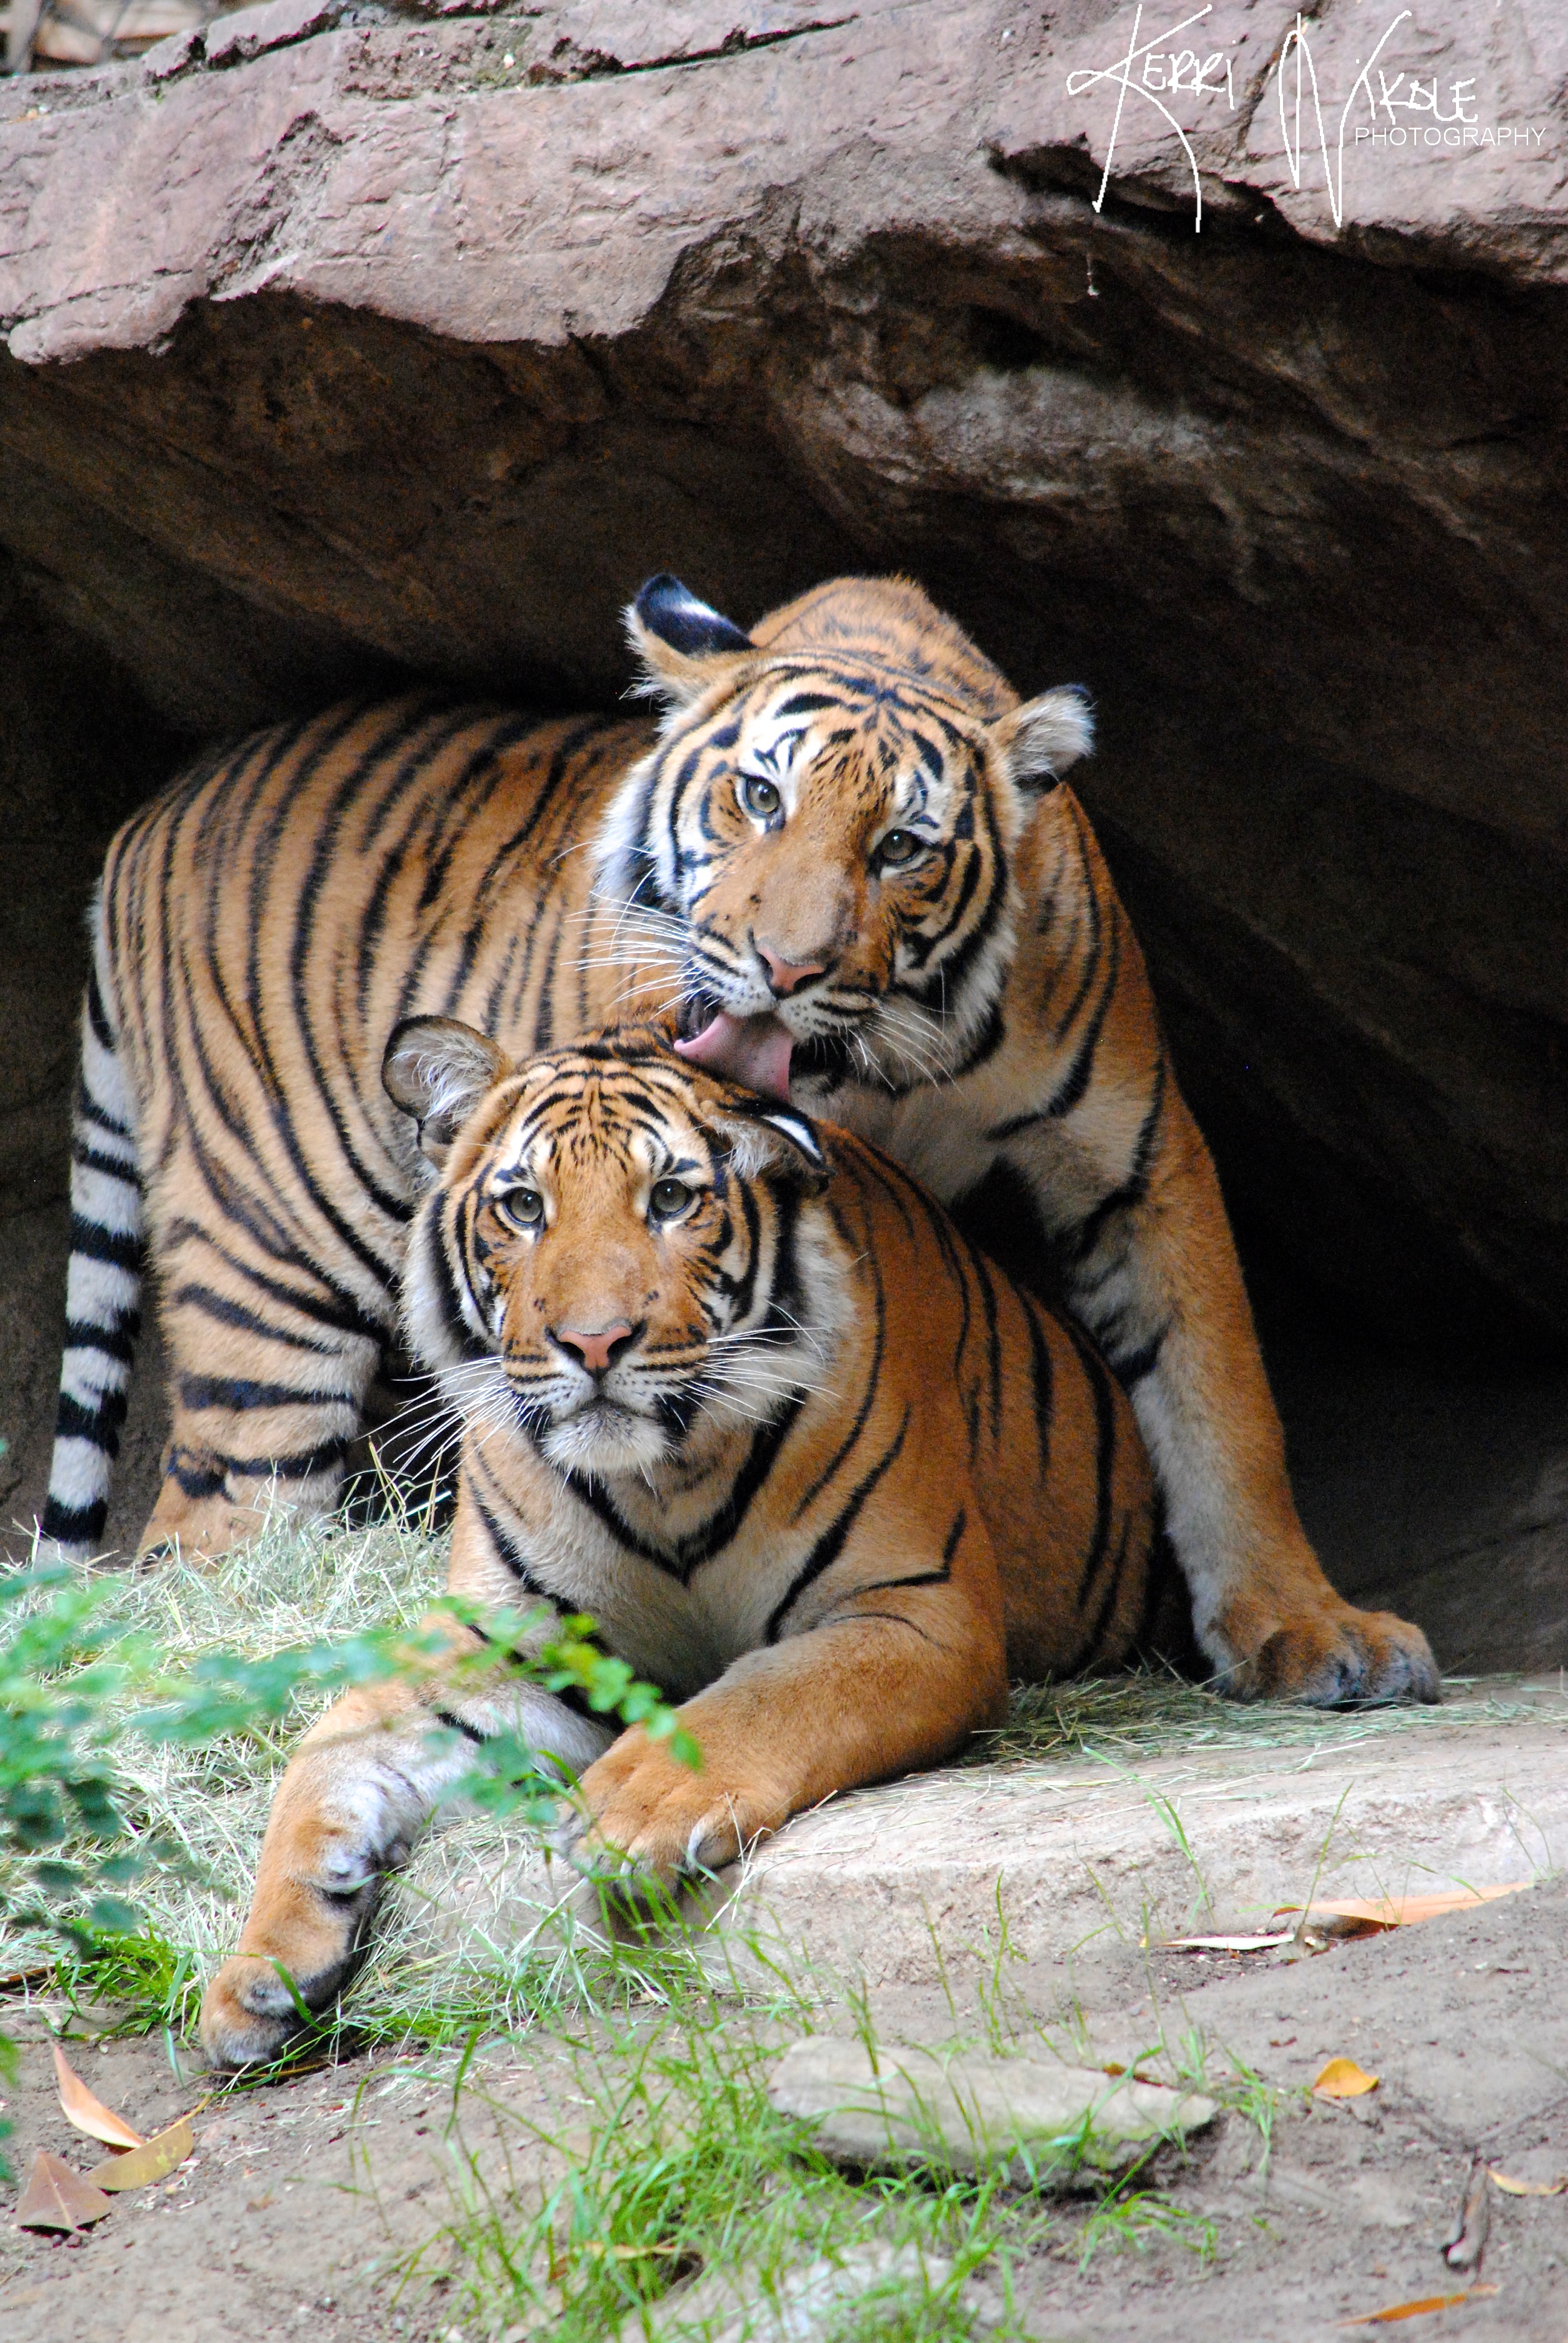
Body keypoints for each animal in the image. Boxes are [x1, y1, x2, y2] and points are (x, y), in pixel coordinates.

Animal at [36, 567, 1434, 1705]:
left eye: (903, 846)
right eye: (757, 796)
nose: (786, 966)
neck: (893, 1061)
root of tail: (144, 818)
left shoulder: (1134, 1159)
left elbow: (1219, 1397)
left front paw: (1310, 1631)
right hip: (269, 1287)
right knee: (204, 1536)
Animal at [199, 1017, 1200, 2062]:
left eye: (672, 1199)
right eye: (524, 1207)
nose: (595, 1343)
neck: (661, 1482)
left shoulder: (917, 1613)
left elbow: (773, 1692)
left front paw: (629, 1812)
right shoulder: (508, 1647)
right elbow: (327, 1753)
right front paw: (255, 1977)